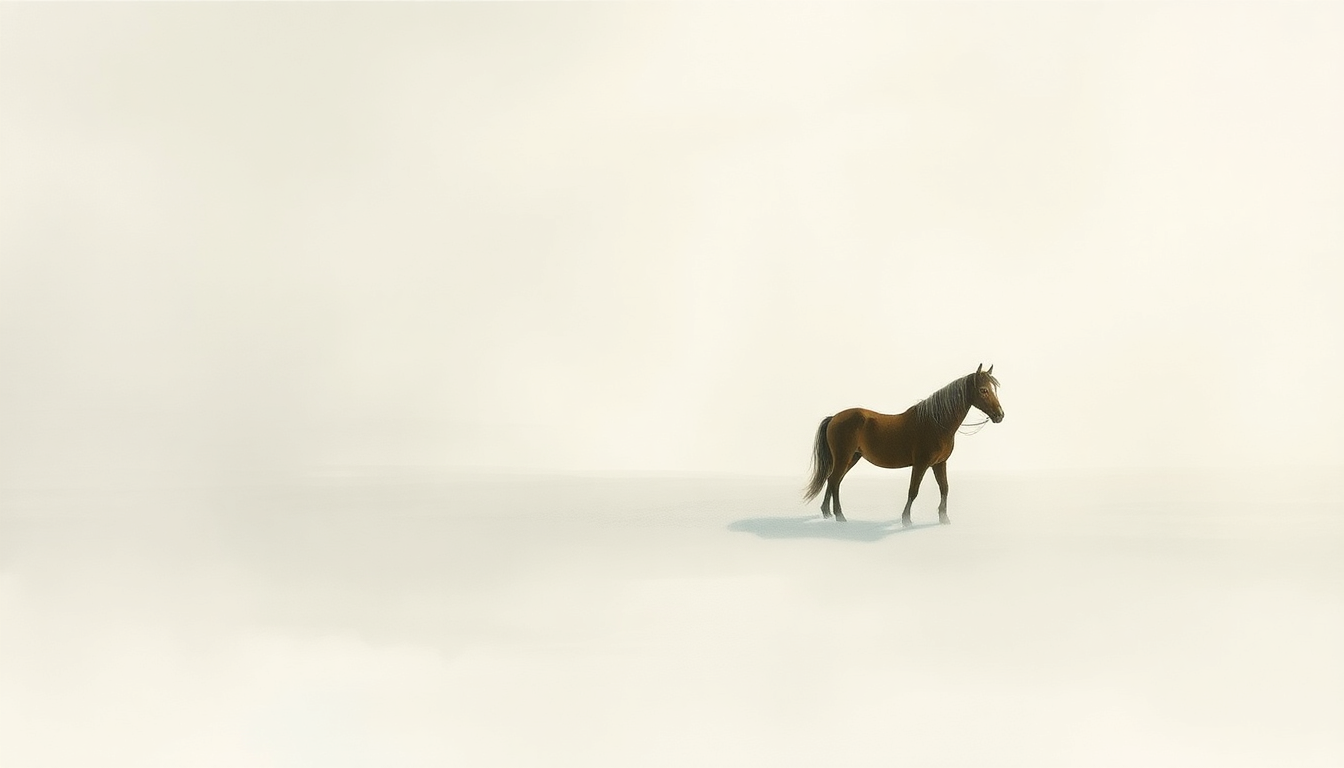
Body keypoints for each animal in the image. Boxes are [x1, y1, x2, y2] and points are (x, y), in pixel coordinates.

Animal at [803, 364, 1004, 525]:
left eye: (994, 389)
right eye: (983, 390)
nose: (1000, 415)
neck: (935, 423)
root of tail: (834, 418)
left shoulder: (940, 464)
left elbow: (944, 488)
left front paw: (944, 518)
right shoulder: (921, 464)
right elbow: (913, 491)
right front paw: (906, 519)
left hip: (851, 458)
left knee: (833, 480)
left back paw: (827, 513)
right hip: (844, 457)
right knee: (834, 481)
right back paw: (839, 516)